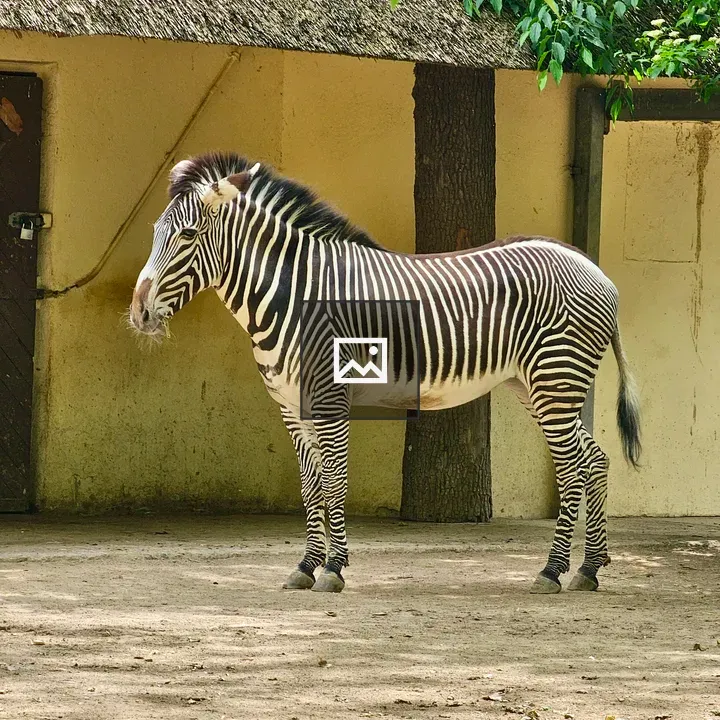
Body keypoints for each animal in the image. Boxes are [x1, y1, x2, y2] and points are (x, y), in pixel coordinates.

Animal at [129, 151, 641, 595]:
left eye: (188, 235)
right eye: (155, 232)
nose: (140, 314)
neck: (294, 295)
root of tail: (596, 270)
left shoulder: (330, 396)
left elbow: (334, 480)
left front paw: (333, 569)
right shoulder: (291, 406)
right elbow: (310, 487)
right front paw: (305, 566)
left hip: (555, 379)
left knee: (573, 468)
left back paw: (552, 571)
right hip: (538, 386)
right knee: (595, 459)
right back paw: (589, 569)